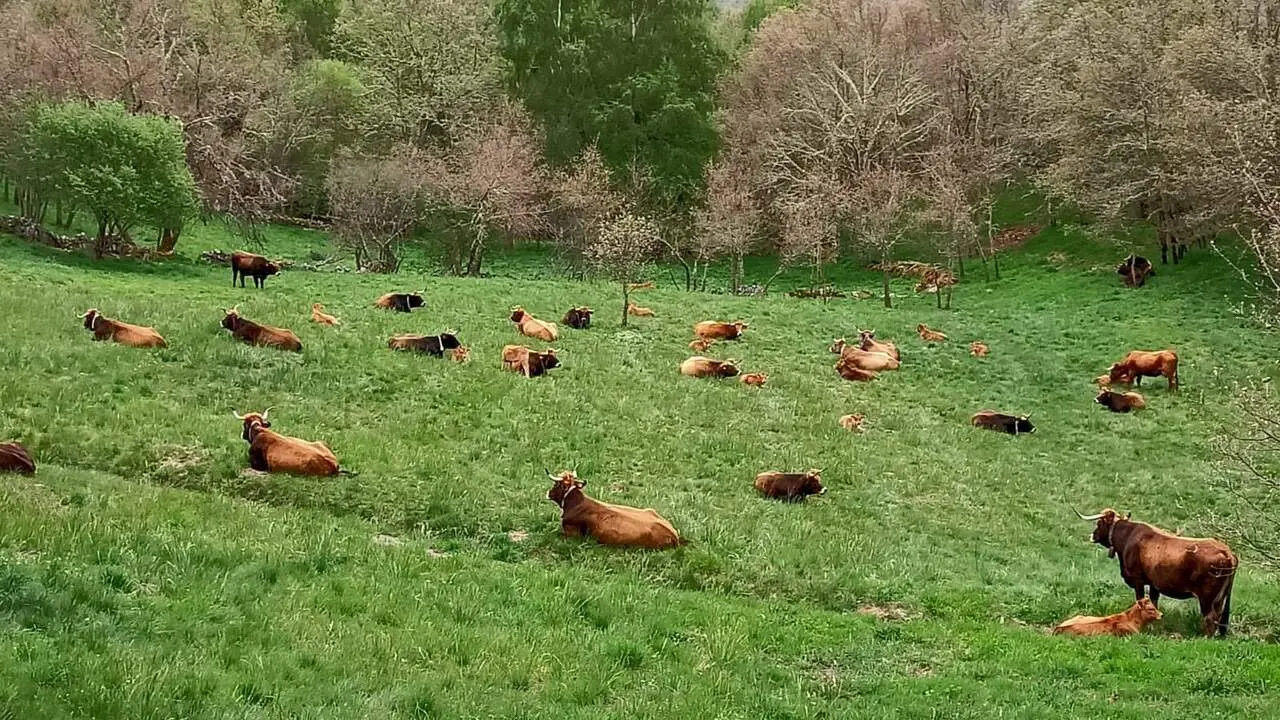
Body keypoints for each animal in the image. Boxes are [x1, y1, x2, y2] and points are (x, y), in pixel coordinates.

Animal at [1075, 508, 1237, 636]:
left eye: (1099, 523)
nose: (1092, 536)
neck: (1128, 537)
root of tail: (1226, 552)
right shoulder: (1154, 584)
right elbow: (1153, 602)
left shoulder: (1138, 580)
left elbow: (1140, 599)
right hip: (1220, 597)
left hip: (1207, 597)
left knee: (1210, 617)